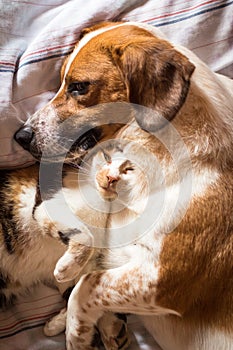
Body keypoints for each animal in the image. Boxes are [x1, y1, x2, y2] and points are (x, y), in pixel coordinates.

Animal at [15, 22, 233, 350]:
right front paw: (65, 321)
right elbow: (86, 272)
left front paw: (77, 334)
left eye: (79, 86)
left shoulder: (162, 280)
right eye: (60, 81)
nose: (20, 136)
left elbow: (84, 287)